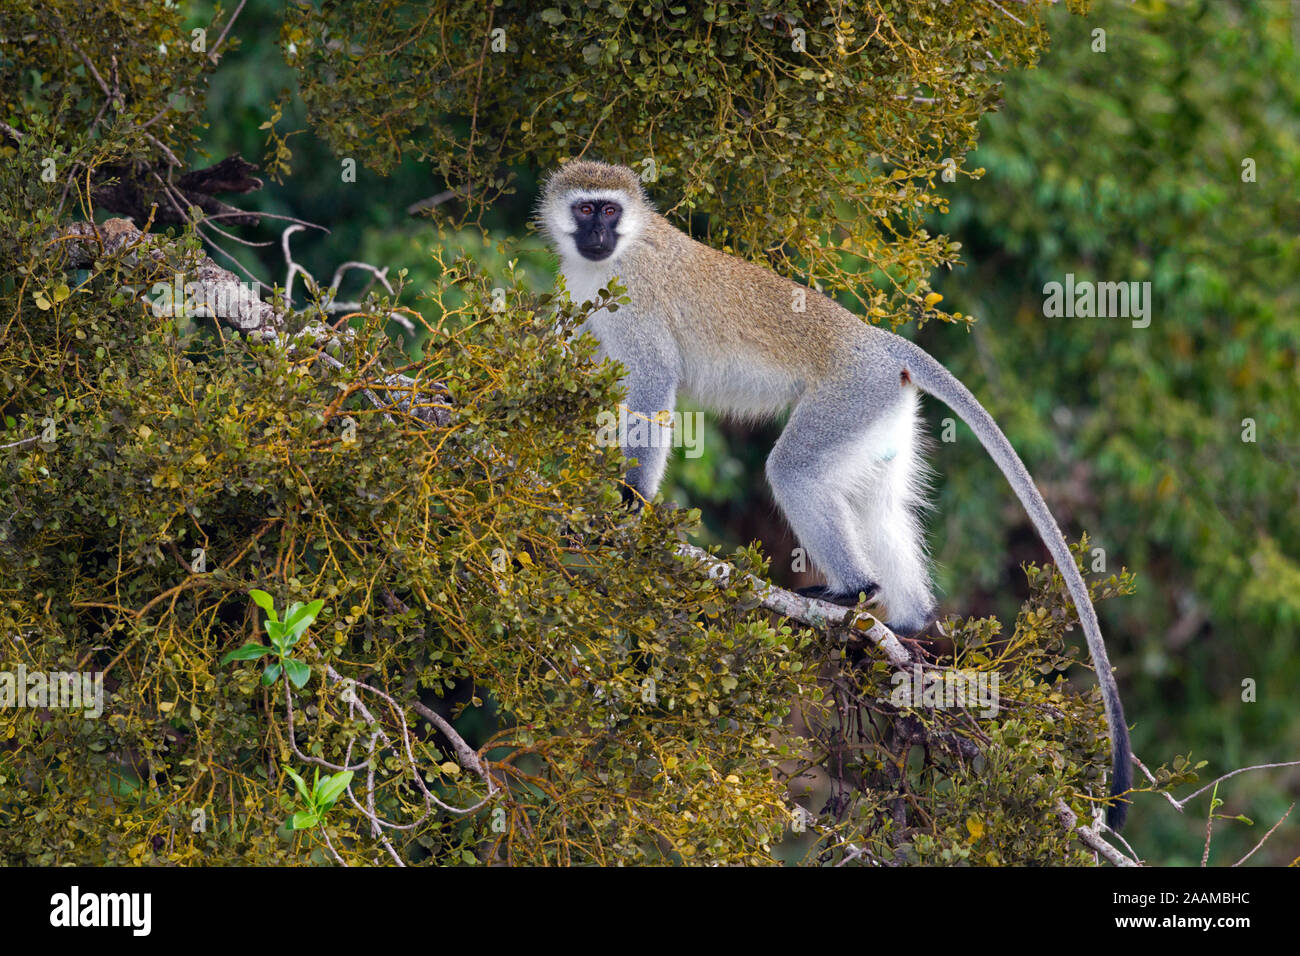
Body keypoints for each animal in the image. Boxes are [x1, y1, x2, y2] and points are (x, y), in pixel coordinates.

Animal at [538, 158, 1128, 832]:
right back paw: (907, 622)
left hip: (849, 395)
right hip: (881, 412)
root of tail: (877, 342)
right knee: (878, 506)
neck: (618, 253)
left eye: (610, 210)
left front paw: (630, 502)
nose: (597, 234)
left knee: (794, 470)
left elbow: (654, 389)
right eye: (586, 209)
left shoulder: (635, 305)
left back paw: (854, 591)